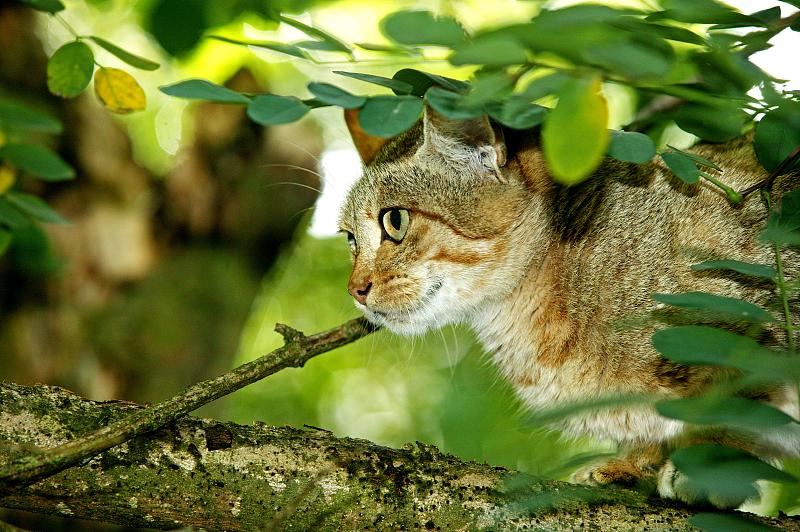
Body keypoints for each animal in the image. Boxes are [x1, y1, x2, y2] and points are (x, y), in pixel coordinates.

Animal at [338, 103, 800, 508]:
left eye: (395, 221)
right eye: (350, 239)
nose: (355, 288)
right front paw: (635, 465)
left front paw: (711, 461)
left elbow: (739, 395)